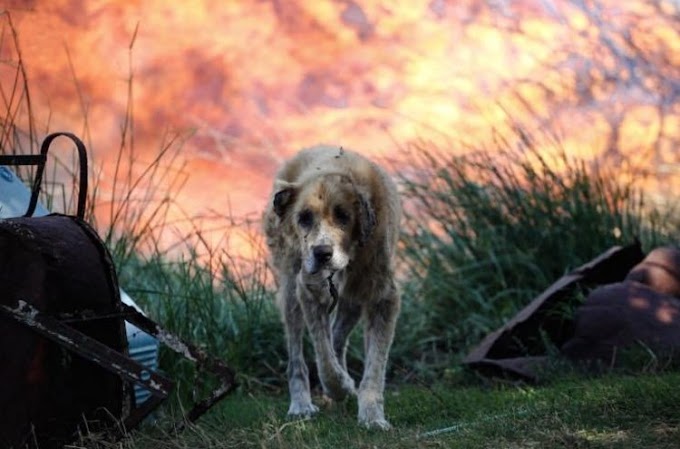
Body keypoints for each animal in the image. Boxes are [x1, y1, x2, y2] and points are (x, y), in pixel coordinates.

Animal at [260, 145, 398, 428]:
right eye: (304, 218)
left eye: (343, 216)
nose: (322, 253)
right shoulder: (308, 292)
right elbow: (323, 357)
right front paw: (339, 387)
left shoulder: (383, 298)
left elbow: (375, 366)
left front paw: (371, 415)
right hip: (290, 292)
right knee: (297, 358)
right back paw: (301, 403)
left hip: (352, 301)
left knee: (336, 336)